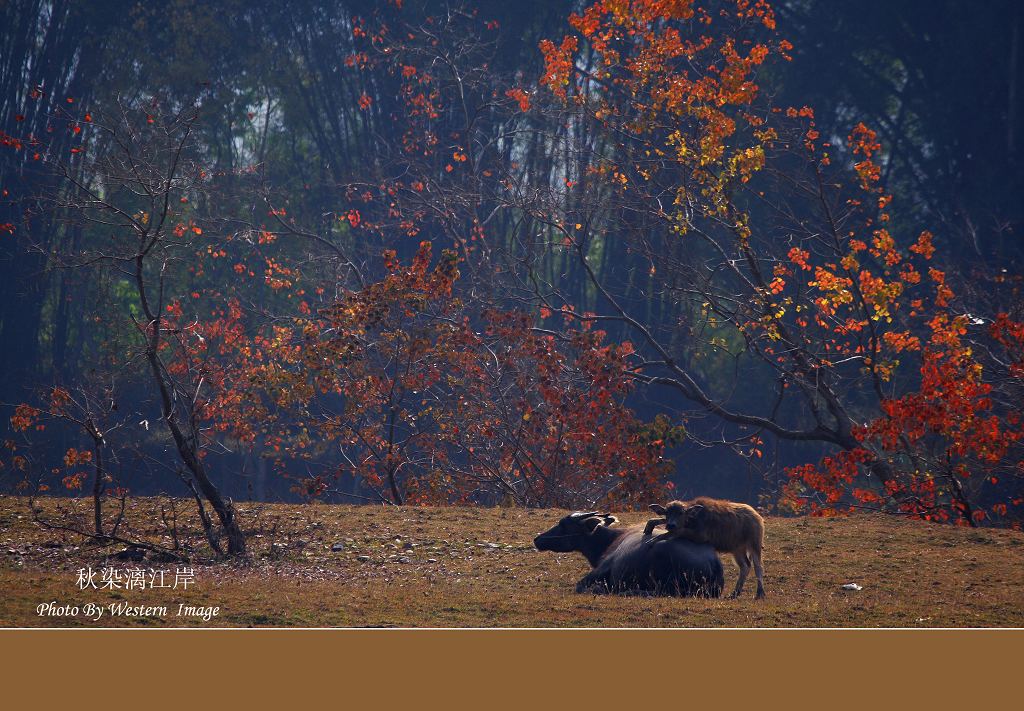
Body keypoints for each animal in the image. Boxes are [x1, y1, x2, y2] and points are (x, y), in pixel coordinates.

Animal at [532, 512, 724, 594]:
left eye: (563, 524)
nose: (537, 539)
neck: (612, 538)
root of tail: (713, 564)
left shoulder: (604, 567)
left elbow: (580, 585)